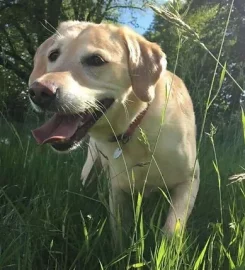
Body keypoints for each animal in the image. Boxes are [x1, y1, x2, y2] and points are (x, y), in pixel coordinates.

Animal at [28, 20, 200, 245]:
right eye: (53, 55)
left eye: (96, 60)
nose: (38, 91)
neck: (136, 126)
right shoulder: (117, 189)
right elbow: (119, 230)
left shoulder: (190, 180)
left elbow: (172, 228)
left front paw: (167, 248)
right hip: (91, 166)